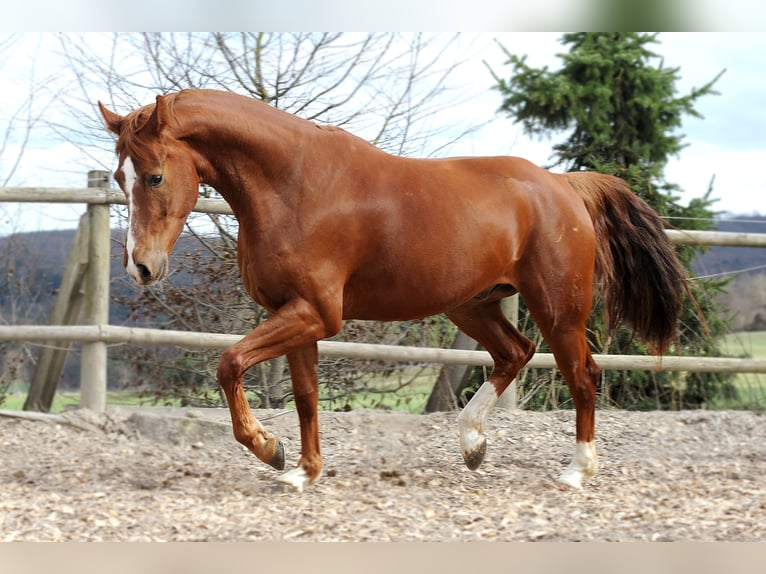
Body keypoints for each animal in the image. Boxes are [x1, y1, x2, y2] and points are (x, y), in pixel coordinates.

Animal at [97, 89, 688, 490]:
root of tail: (563, 185)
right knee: (515, 353)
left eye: (153, 176)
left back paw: (576, 470)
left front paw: (270, 450)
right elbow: (306, 396)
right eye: (118, 178)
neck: (292, 185)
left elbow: (230, 363)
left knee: (582, 374)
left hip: (558, 308)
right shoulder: (299, 315)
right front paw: (303, 472)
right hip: (472, 306)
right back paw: (473, 444)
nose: (142, 268)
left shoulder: (315, 313)